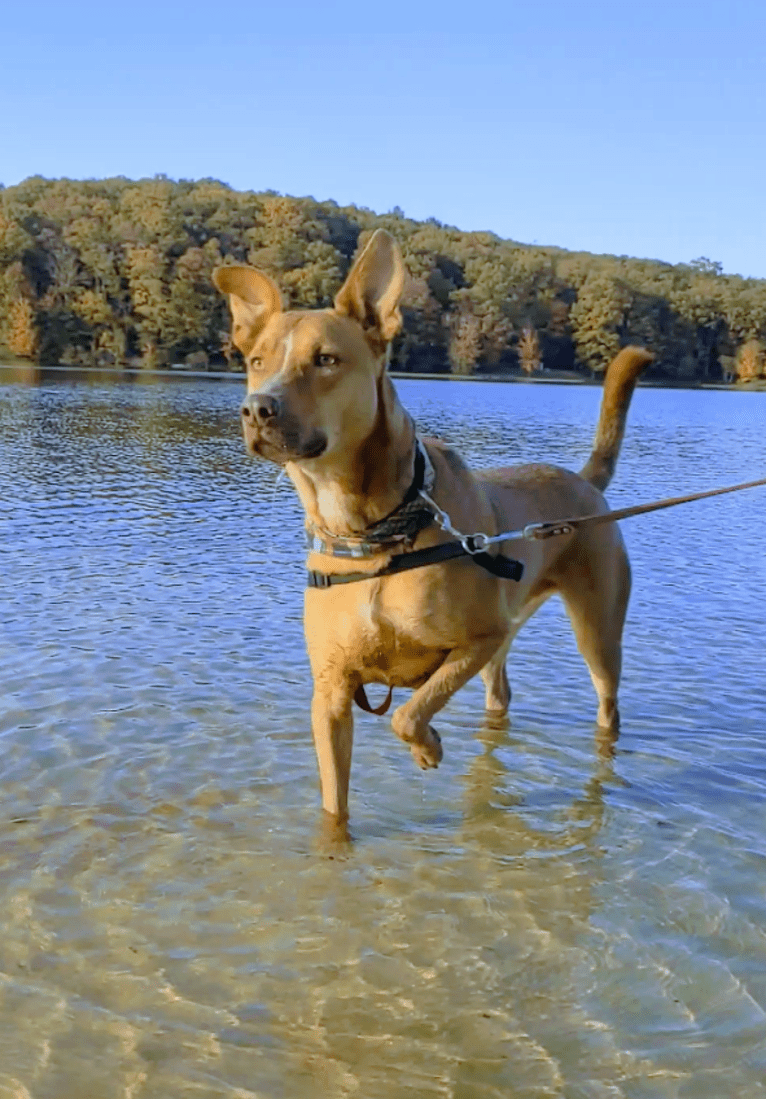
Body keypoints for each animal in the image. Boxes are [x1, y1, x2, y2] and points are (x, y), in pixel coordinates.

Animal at [211, 231, 650, 822]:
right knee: (500, 696)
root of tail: (584, 483)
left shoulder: (477, 638)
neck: (370, 534)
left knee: (607, 703)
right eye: (256, 361)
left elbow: (408, 713)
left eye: (325, 359)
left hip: (595, 632)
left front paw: (428, 747)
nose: (258, 408)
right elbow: (334, 803)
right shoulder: (330, 693)